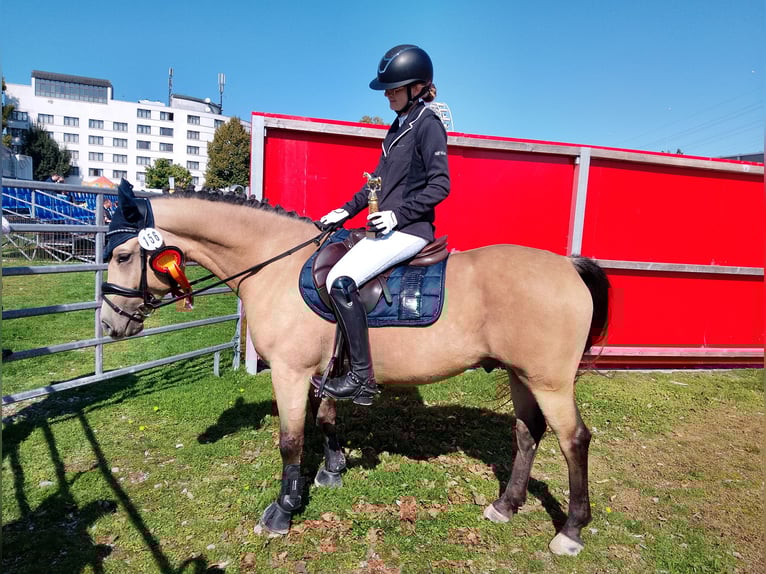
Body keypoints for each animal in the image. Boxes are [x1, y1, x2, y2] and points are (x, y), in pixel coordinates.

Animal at [99, 184, 610, 556]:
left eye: (122, 256)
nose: (108, 324)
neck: (276, 266)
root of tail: (568, 266)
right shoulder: (323, 369)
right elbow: (326, 418)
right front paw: (332, 470)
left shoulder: (289, 372)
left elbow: (290, 441)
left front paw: (283, 510)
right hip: (521, 375)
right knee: (527, 433)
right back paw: (506, 505)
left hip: (549, 382)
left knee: (574, 441)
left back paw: (571, 530)